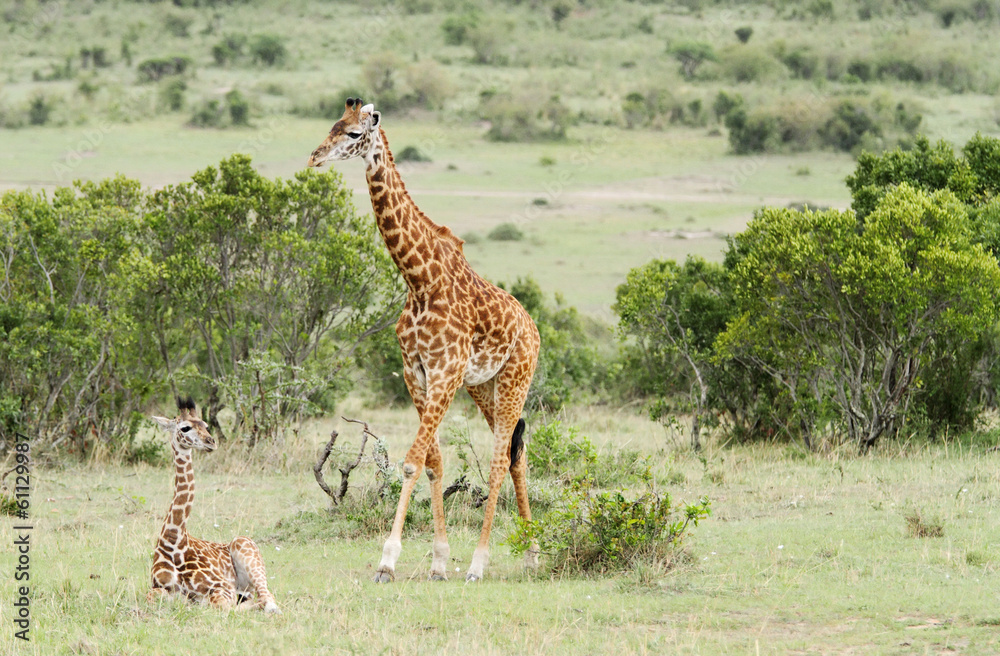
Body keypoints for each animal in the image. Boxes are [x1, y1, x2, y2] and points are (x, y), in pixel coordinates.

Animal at [148, 397, 279, 613]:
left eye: (206, 426)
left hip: (246, 551)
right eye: (185, 428)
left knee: (267, 597)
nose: (211, 442)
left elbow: (220, 606)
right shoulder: (157, 587)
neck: (175, 541)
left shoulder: (222, 587)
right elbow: (155, 597)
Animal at [307, 98, 541, 582]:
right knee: (516, 454)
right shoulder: (416, 373)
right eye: (332, 125)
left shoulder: (445, 371)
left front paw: (388, 560)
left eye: (354, 134)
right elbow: (433, 464)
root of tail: (533, 328)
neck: (418, 281)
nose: (315, 158)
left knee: (497, 462)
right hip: (484, 387)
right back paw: (531, 553)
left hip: (515, 379)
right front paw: (437, 560)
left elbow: (412, 461)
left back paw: (480, 564)